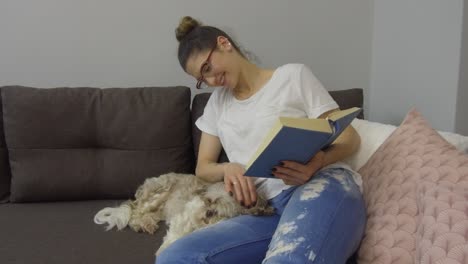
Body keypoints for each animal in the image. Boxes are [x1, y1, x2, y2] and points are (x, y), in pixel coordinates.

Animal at [94, 172, 274, 255]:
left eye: (220, 212)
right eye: (208, 201)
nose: (208, 212)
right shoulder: (182, 220)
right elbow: (174, 236)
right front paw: (163, 249)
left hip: (160, 208)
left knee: (146, 214)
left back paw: (147, 224)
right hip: (158, 193)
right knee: (135, 213)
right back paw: (140, 223)